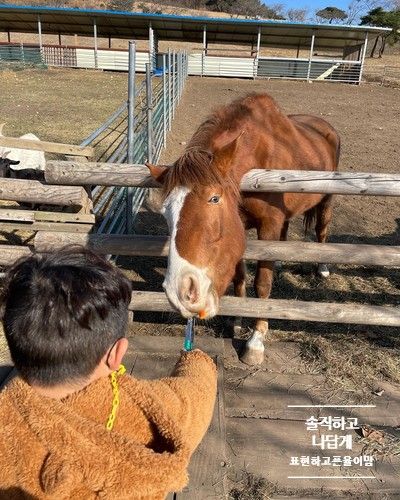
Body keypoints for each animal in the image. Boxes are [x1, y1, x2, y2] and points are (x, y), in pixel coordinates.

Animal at [147, 93, 340, 364]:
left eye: (214, 198)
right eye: (165, 211)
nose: (181, 291)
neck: (259, 155)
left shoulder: (268, 225)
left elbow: (262, 284)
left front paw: (256, 340)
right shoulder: (239, 227)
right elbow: (239, 276)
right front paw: (237, 319)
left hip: (326, 199)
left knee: (322, 230)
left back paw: (322, 268)